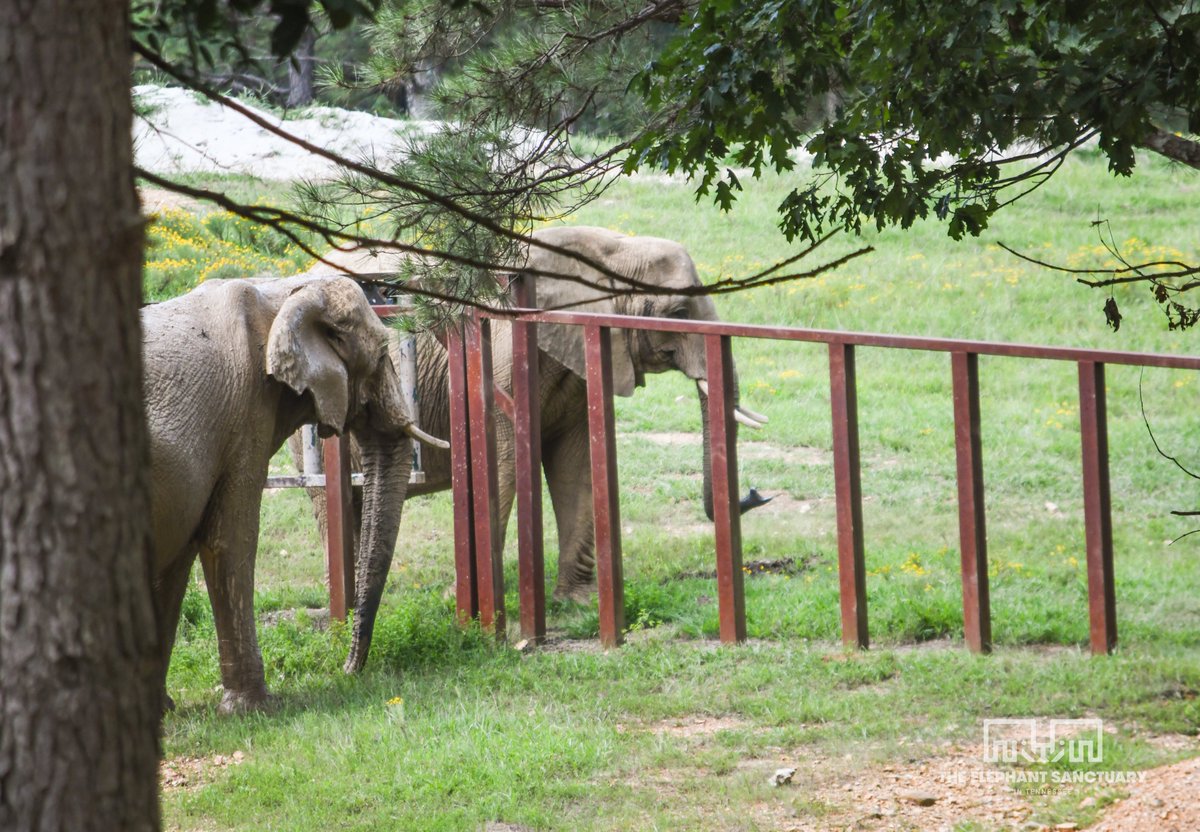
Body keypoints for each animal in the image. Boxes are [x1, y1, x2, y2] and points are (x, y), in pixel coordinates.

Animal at [143, 274, 444, 713]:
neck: (283, 291)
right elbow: (229, 539)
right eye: (382, 353)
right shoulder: (245, 416)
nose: (347, 669)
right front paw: (252, 709)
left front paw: (157, 710)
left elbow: (177, 560)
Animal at [297, 226, 769, 672]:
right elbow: (502, 466)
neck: (609, 248)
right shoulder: (501, 364)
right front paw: (464, 605)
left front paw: (577, 603)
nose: (755, 495)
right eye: (680, 313)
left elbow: (575, 467)